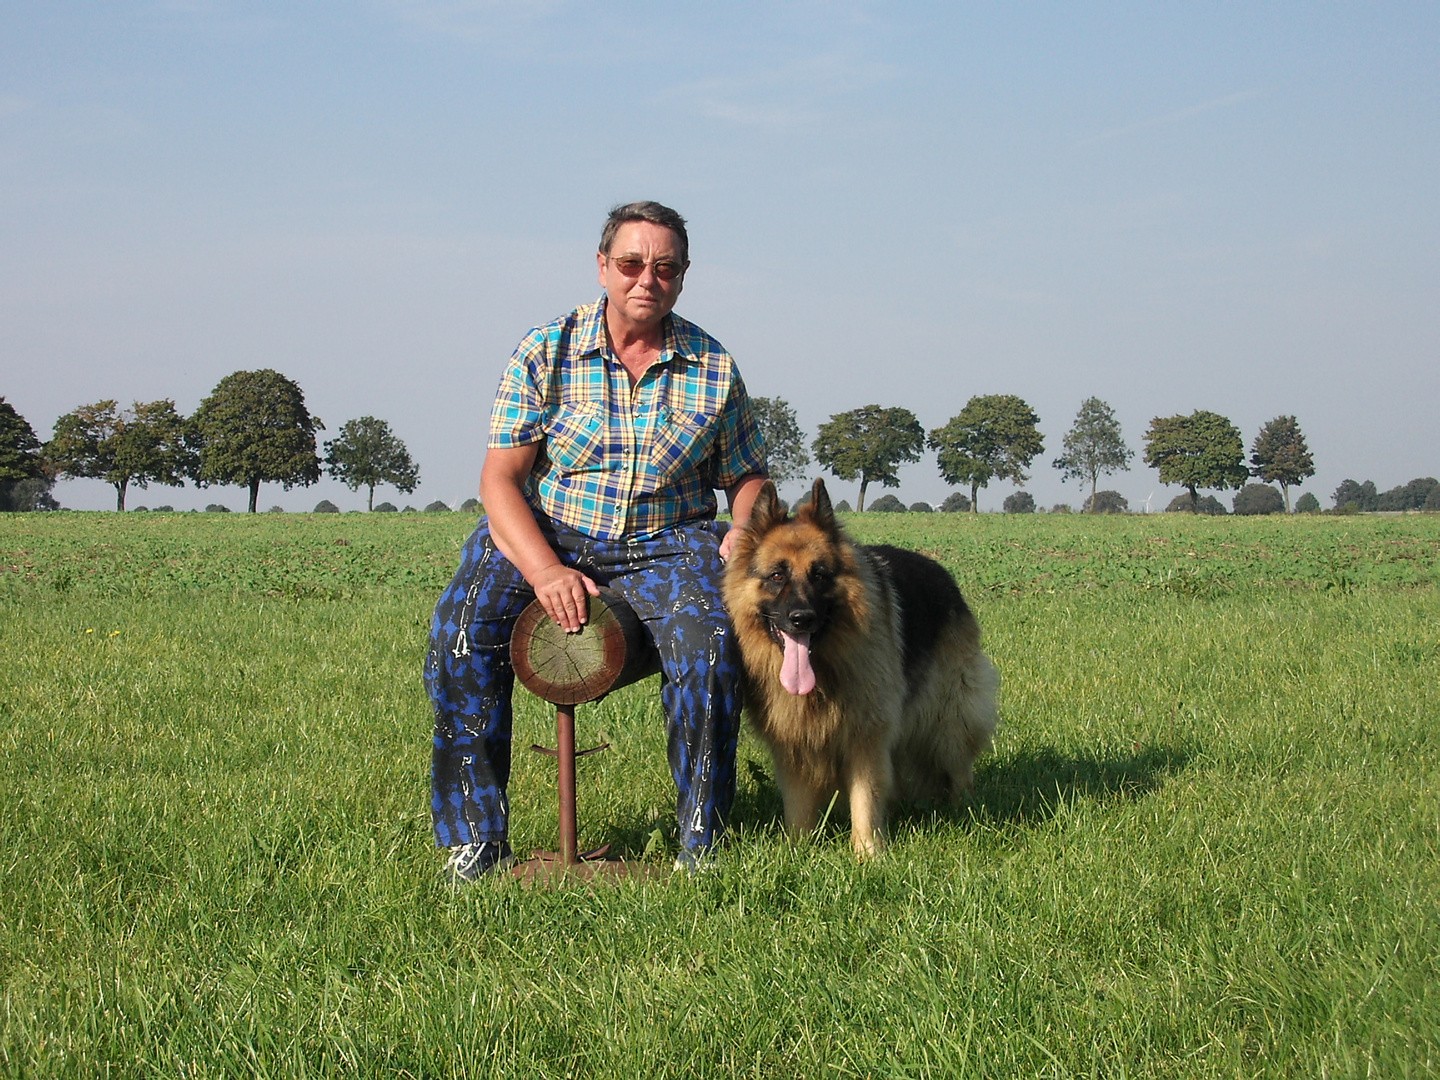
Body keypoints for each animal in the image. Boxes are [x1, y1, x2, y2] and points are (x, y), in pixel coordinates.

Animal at [725, 478, 996, 858]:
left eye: (820, 575)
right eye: (777, 575)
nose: (801, 618)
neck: (823, 672)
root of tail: (942, 574)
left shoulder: (866, 736)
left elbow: (865, 796)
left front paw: (868, 853)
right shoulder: (794, 743)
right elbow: (798, 804)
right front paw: (798, 849)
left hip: (948, 718)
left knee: (958, 766)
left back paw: (966, 812)